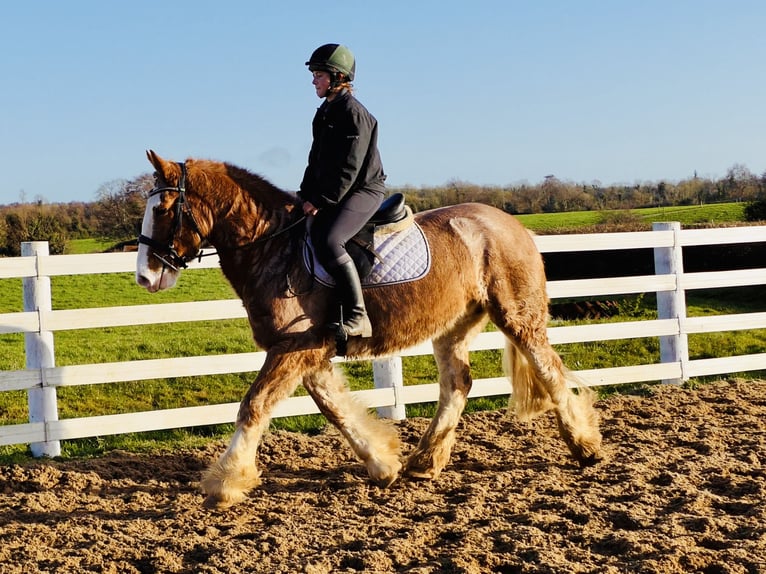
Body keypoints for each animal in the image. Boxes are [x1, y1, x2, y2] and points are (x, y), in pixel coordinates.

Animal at [135, 150, 603, 509]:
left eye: (162, 210)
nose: (145, 277)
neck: (275, 248)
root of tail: (511, 223)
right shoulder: (308, 350)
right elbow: (334, 408)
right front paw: (382, 464)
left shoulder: (295, 346)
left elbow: (255, 405)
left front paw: (225, 483)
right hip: (454, 326)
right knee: (458, 383)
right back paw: (423, 462)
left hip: (518, 316)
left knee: (548, 370)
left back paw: (585, 446)